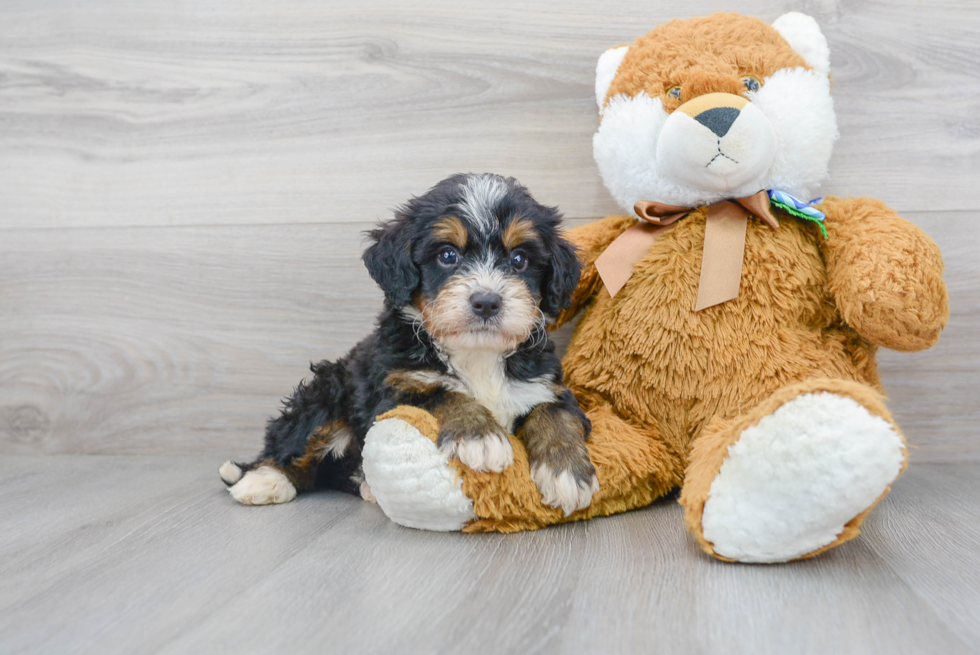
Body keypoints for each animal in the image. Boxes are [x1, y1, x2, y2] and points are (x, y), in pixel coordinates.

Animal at [220, 174, 596, 516]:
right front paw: (480, 437)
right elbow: (443, 393)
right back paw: (264, 480)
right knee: (292, 441)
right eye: (447, 255)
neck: (476, 354)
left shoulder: (544, 385)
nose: (487, 302)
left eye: (519, 259)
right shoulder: (397, 387)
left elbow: (556, 414)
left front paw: (567, 473)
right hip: (328, 390)